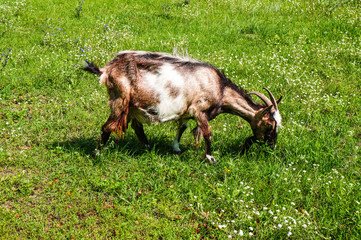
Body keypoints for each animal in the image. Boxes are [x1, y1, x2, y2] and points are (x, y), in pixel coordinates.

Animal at [84, 50, 282, 163]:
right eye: (269, 124)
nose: (272, 146)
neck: (221, 88)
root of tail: (106, 70)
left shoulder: (186, 112)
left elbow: (182, 128)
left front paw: (176, 148)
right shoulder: (198, 110)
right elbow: (207, 133)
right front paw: (210, 158)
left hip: (132, 105)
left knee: (136, 126)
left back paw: (147, 146)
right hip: (120, 99)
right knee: (107, 127)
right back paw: (97, 154)